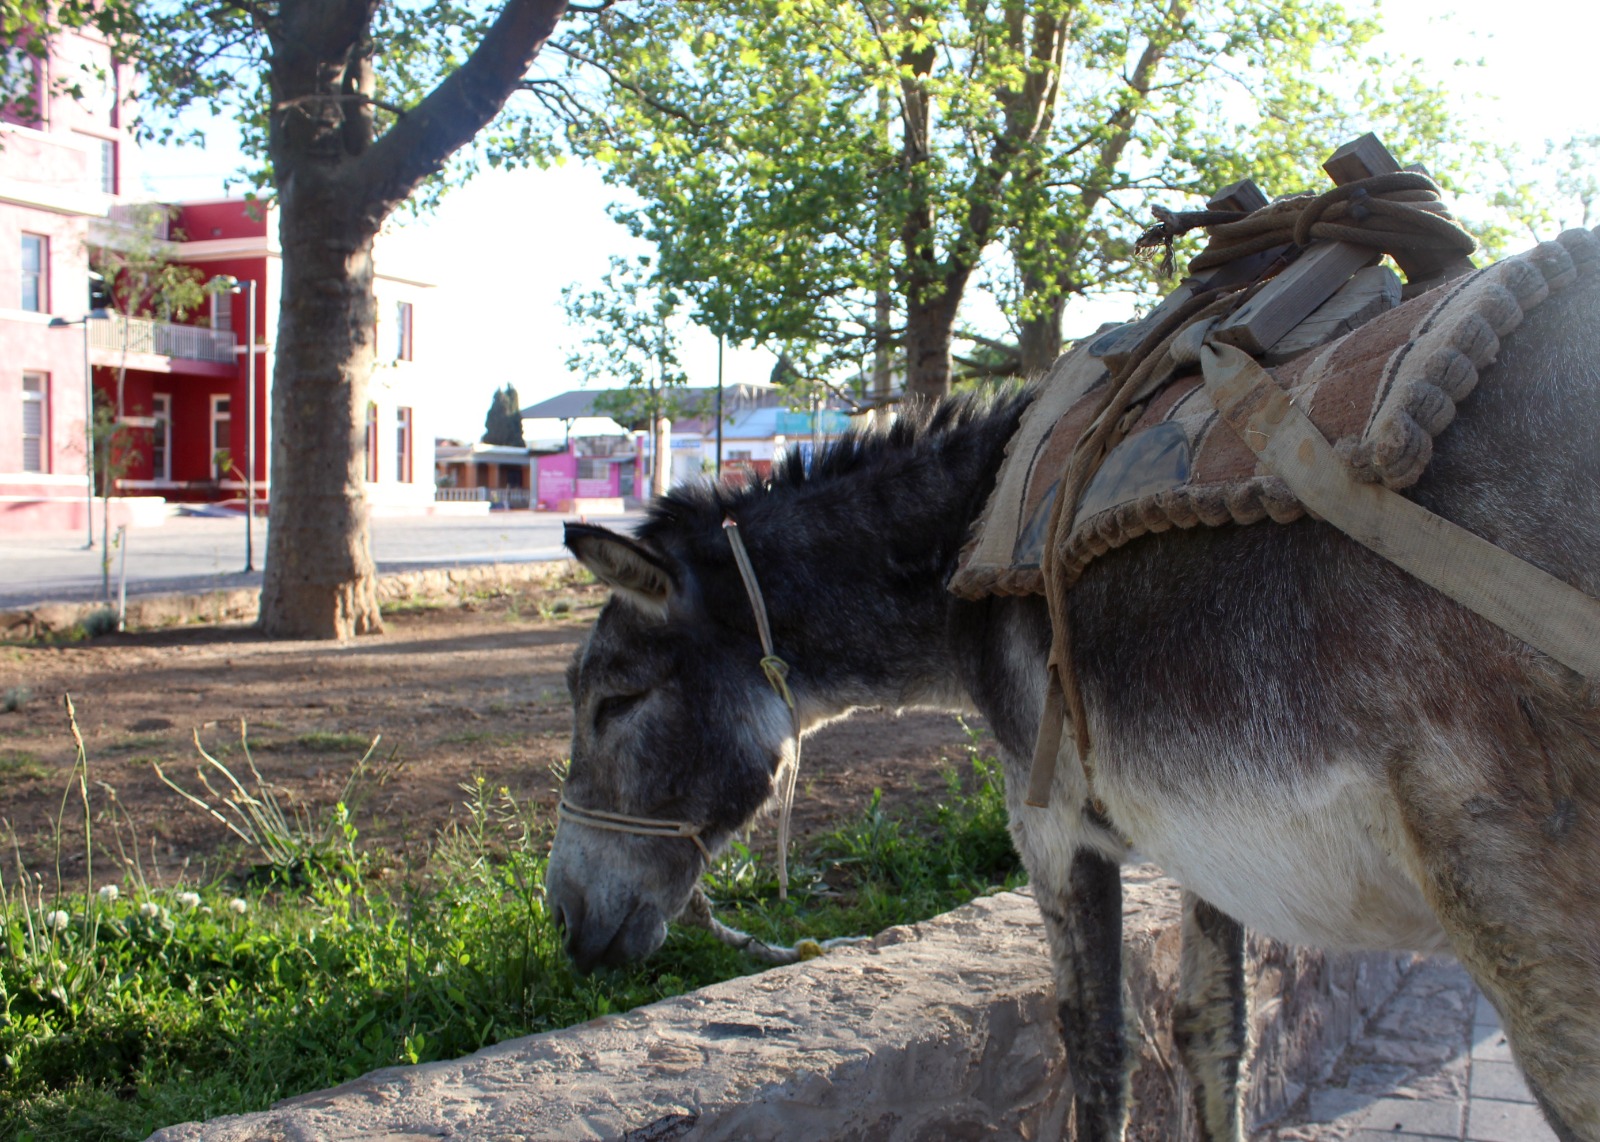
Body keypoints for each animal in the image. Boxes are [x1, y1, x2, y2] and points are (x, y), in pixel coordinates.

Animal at [544, 269, 1600, 1142]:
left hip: (1521, 913)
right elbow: (1213, 1031)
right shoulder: (1207, 835)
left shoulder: (1051, 824)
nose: (564, 922)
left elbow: (1096, 1050)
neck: (969, 542)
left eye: (617, 699)